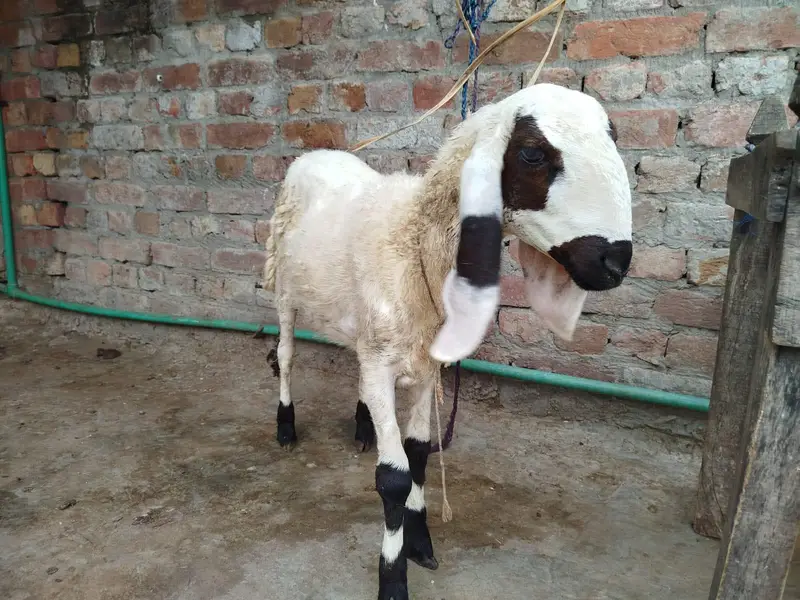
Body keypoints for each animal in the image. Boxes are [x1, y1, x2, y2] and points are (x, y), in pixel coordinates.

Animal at [262, 82, 632, 600]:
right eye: (533, 153)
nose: (616, 262)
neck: (415, 242)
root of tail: (317, 153)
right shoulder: (386, 362)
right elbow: (394, 479)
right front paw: (393, 577)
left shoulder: (422, 363)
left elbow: (418, 454)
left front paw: (420, 543)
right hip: (285, 291)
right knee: (287, 355)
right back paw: (286, 427)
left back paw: (362, 425)